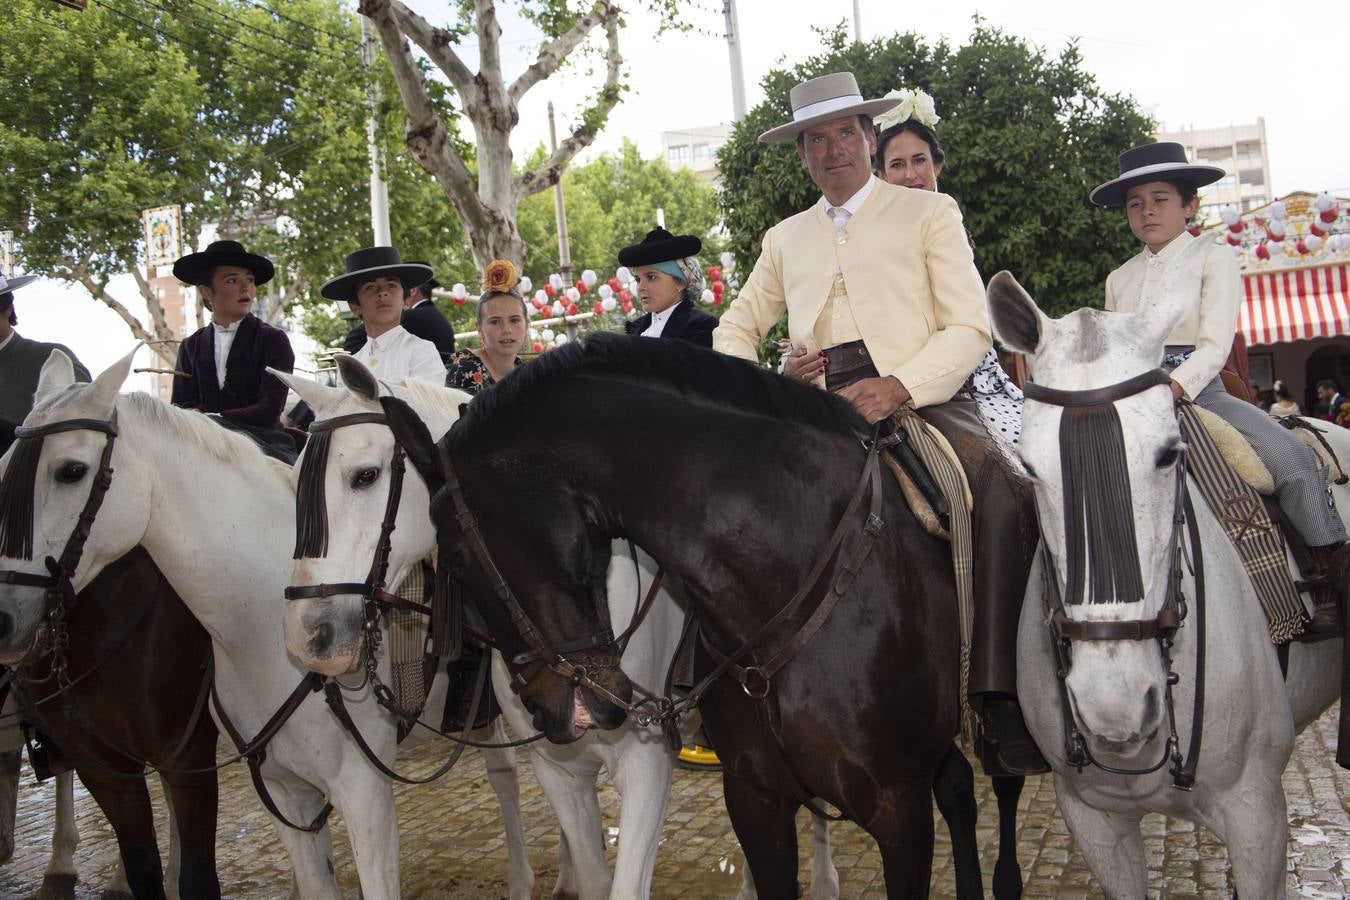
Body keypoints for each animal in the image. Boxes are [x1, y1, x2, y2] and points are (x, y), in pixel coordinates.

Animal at [275, 361, 842, 900]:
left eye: (365, 476)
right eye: (296, 483)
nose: (309, 637)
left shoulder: (646, 764)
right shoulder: (558, 770)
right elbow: (594, 879)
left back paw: (823, 880)